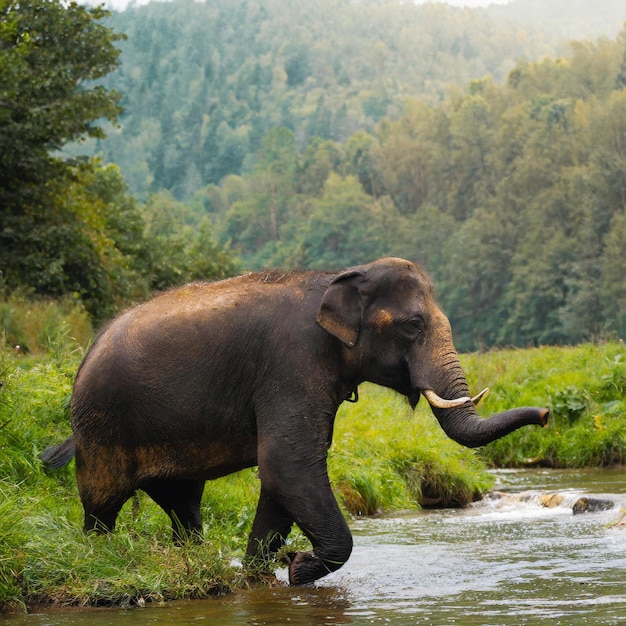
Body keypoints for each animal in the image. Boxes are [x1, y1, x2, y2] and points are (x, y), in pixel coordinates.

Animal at [41, 256, 544, 584]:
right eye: (413, 325)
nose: (544, 414)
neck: (339, 276)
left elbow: (283, 475)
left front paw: (262, 574)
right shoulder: (292, 361)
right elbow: (287, 464)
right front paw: (298, 569)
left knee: (183, 502)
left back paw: (194, 559)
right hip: (101, 426)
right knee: (102, 504)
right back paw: (100, 556)